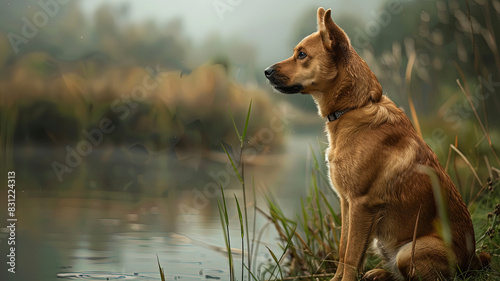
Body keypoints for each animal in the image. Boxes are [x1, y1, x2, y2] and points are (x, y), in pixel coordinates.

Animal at [266, 7, 488, 278]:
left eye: (302, 55)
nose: (266, 72)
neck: (354, 107)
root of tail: (472, 260)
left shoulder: (361, 205)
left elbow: (351, 256)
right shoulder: (346, 203)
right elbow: (344, 250)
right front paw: (336, 279)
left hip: (409, 251)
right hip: (382, 242)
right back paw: (378, 273)